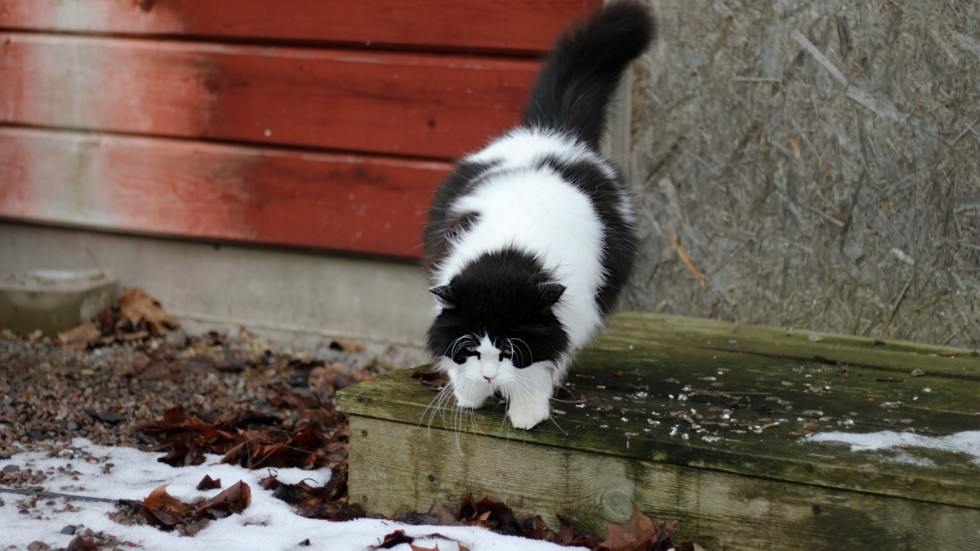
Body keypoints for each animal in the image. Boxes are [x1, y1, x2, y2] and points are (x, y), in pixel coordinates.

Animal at [420, 1, 652, 432]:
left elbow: (544, 365)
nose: (490, 376)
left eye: (510, 351)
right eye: (473, 349)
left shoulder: (574, 312)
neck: (510, 248)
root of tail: (551, 130)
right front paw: (471, 395)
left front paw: (527, 412)